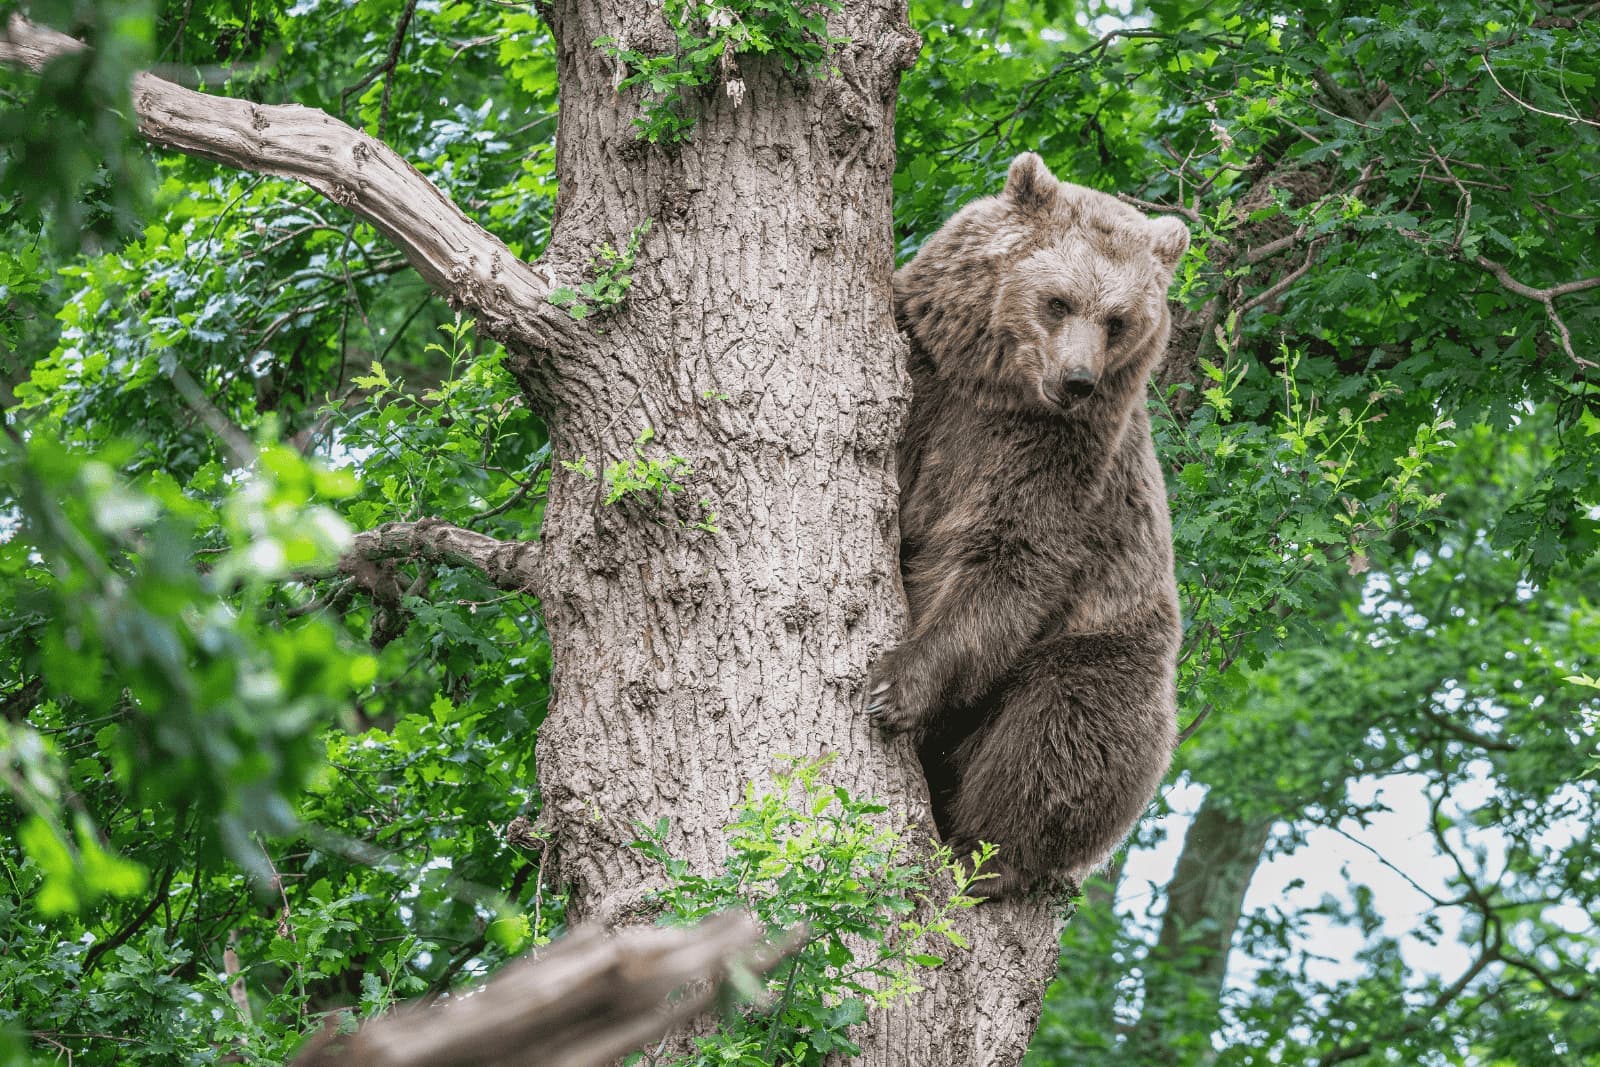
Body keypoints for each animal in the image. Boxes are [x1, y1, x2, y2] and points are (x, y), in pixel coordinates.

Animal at [867, 152, 1187, 901]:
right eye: (1059, 300)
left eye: (1118, 319)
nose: (1078, 379)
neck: (995, 390)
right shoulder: (931, 380)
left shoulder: (1059, 460)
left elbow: (1007, 559)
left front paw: (895, 684)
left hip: (1108, 636)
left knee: (1063, 729)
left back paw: (989, 855)